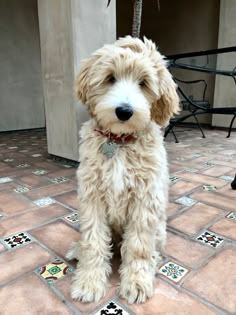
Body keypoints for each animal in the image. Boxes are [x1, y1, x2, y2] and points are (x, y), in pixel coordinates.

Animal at [66, 35, 179, 304]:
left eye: (144, 82)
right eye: (110, 78)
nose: (124, 111)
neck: (118, 142)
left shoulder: (145, 200)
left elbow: (138, 247)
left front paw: (136, 282)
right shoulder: (92, 196)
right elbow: (93, 241)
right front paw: (88, 282)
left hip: (159, 229)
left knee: (151, 248)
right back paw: (77, 249)